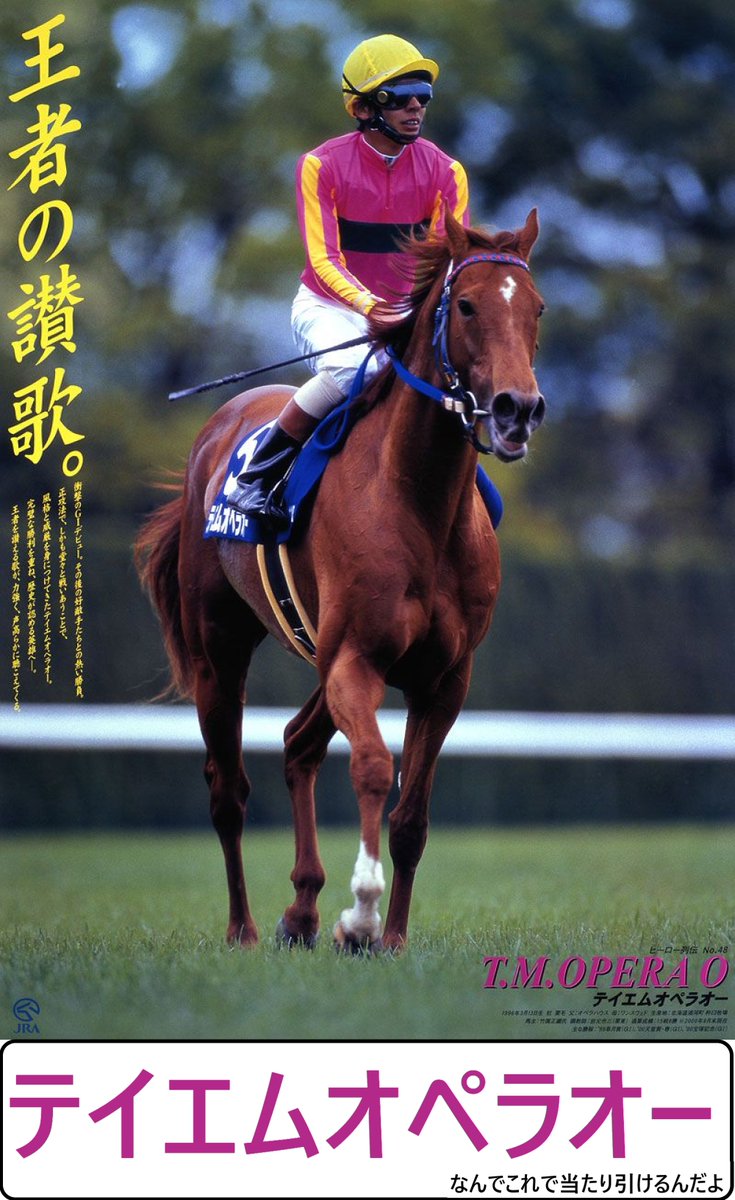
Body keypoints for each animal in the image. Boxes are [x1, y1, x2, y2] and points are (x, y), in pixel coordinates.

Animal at [135, 209, 546, 953]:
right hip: (220, 652)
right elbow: (374, 767)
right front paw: (359, 915)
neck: (417, 499)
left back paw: (300, 912)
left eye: (536, 308)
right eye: (467, 305)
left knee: (297, 745)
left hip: (321, 660)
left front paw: (392, 938)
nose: (516, 409)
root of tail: (215, 430)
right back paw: (243, 927)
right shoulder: (356, 658)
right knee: (227, 788)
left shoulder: (444, 677)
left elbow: (412, 814)